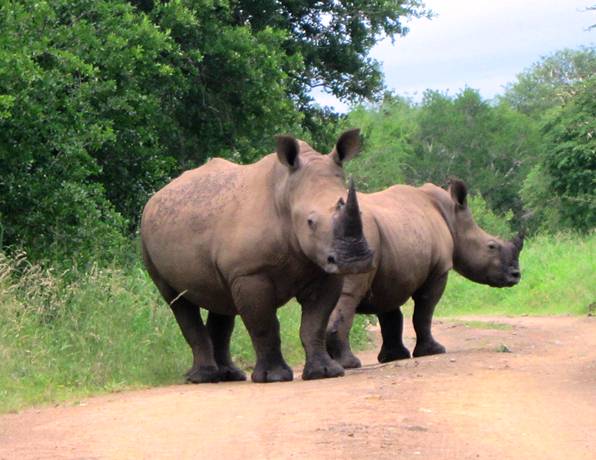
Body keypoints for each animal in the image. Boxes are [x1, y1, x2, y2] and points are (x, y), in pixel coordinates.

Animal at [141, 129, 374, 383]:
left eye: (361, 212)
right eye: (310, 222)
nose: (355, 261)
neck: (285, 194)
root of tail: (154, 198)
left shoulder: (323, 268)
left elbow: (315, 324)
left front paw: (324, 373)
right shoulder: (249, 273)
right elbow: (264, 325)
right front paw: (274, 377)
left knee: (221, 300)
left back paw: (230, 375)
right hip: (146, 240)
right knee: (177, 300)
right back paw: (202, 378)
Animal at [326, 179, 523, 368]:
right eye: (491, 246)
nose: (515, 275)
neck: (453, 219)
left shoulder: (390, 273)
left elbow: (391, 316)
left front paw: (393, 357)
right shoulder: (439, 270)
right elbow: (424, 313)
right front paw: (434, 351)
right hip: (354, 241)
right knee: (348, 297)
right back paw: (350, 364)